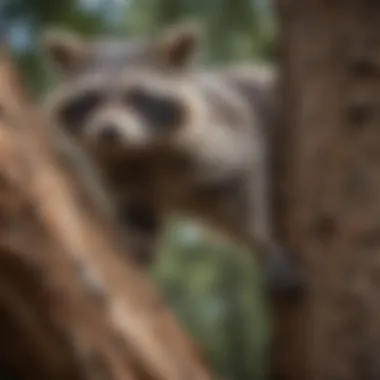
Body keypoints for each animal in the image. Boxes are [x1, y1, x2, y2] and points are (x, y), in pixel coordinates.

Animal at [40, 20, 302, 294]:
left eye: (137, 97)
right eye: (92, 98)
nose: (109, 132)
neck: (143, 148)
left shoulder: (225, 133)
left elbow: (244, 176)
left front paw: (263, 243)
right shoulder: (119, 171)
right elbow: (134, 207)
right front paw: (137, 244)